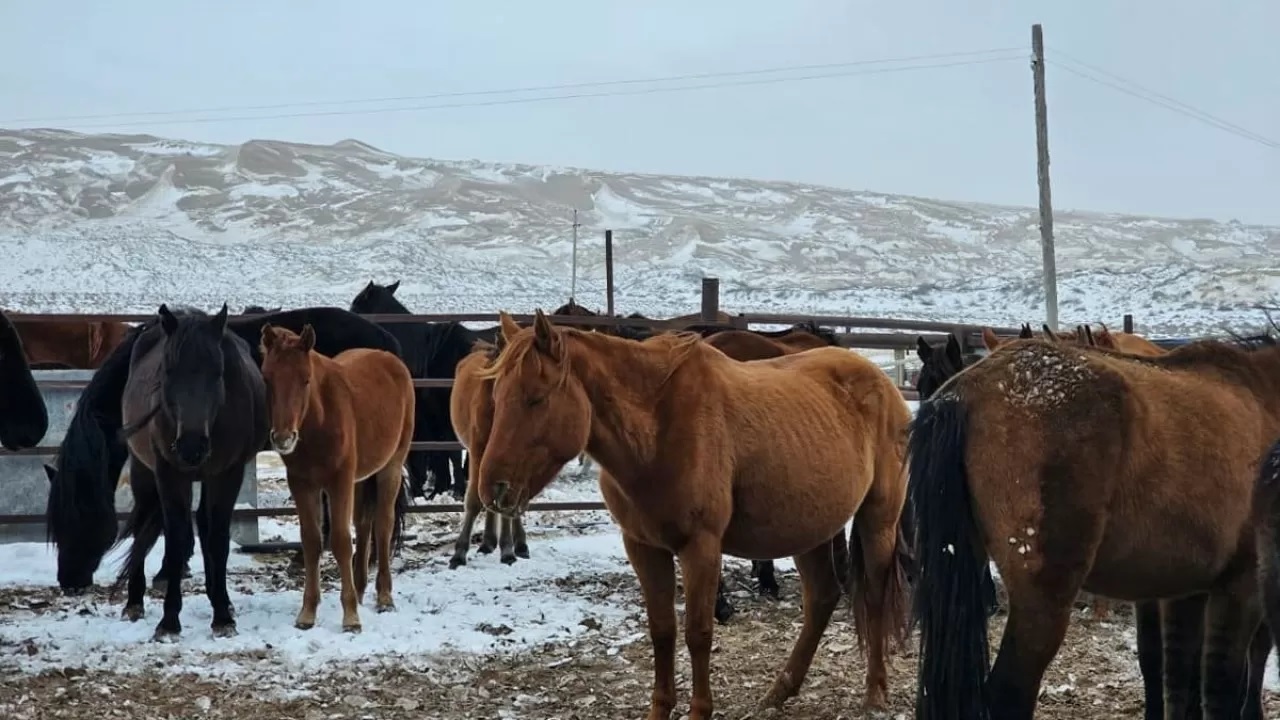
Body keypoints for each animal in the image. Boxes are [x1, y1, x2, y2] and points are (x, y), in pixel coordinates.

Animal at [111, 304, 267, 641]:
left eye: (217, 372)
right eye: (169, 371)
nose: (191, 447)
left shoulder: (227, 475)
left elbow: (218, 538)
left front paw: (222, 616)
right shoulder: (170, 475)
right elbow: (176, 539)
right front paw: (169, 621)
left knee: (204, 526)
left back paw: (219, 597)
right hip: (143, 471)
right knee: (141, 528)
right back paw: (134, 601)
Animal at [259, 324, 414, 632]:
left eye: (306, 379)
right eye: (267, 379)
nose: (283, 438)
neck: (319, 420)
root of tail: (390, 358)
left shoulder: (339, 482)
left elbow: (341, 540)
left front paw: (351, 617)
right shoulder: (302, 484)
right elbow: (311, 540)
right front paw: (307, 613)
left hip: (391, 466)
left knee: (382, 524)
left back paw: (384, 597)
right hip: (361, 477)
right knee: (364, 524)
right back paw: (361, 588)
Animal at [350, 280, 499, 499]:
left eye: (356, 306)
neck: (429, 355)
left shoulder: (444, 416)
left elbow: (450, 452)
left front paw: (457, 490)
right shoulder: (430, 417)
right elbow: (439, 453)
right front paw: (440, 489)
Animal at [476, 310, 910, 718]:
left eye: (536, 398)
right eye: (496, 397)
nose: (492, 488)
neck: (657, 431)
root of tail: (884, 384)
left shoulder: (700, 547)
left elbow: (698, 633)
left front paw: (700, 710)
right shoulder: (643, 547)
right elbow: (662, 630)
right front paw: (659, 708)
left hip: (878, 521)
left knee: (872, 597)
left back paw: (875, 692)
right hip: (810, 528)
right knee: (821, 597)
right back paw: (779, 691)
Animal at [908, 331, 1280, 720]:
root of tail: (963, 394)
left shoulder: (1186, 592)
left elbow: (1179, 682)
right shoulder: (1241, 588)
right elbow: (1223, 688)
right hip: (1043, 599)